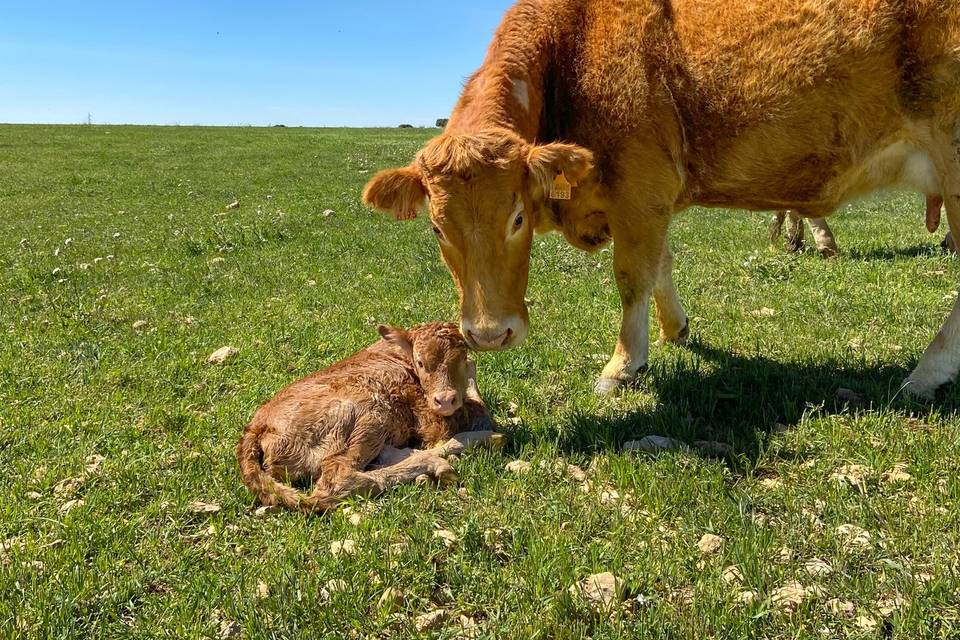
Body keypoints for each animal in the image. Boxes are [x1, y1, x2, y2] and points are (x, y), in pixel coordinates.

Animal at [236, 323, 496, 512]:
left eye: (461, 356)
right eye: (421, 362)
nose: (445, 399)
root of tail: (256, 427)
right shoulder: (428, 417)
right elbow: (476, 414)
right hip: (367, 414)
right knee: (337, 481)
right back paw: (445, 458)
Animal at [363, 0, 960, 399]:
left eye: (516, 218)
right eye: (437, 228)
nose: (488, 335)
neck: (574, 48)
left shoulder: (639, 188)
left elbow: (633, 276)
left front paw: (625, 364)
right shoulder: (646, 203)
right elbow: (662, 264)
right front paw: (677, 330)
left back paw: (925, 374)